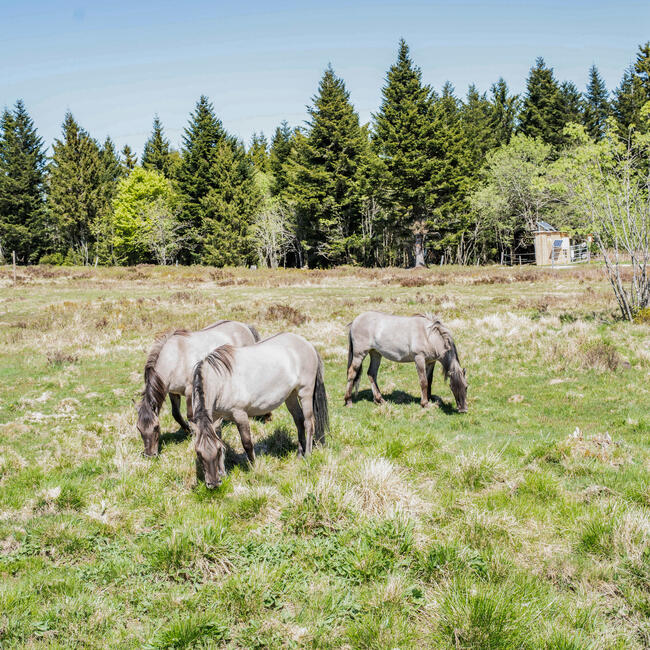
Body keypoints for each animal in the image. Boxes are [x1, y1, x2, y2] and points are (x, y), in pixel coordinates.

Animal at [137, 320, 259, 457]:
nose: (150, 455)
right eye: (139, 429)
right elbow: (176, 414)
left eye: (156, 427)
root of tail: (243, 326)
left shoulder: (190, 391)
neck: (175, 357)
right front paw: (187, 430)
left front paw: (193, 434)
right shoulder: (173, 393)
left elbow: (190, 415)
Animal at [191, 333, 329, 488]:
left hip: (305, 393)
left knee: (308, 423)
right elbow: (220, 440)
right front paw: (223, 473)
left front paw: (254, 469)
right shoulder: (215, 419)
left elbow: (247, 443)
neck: (221, 381)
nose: (214, 483)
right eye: (198, 453)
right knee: (298, 420)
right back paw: (300, 454)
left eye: (217, 451)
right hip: (291, 395)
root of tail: (308, 344)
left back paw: (308, 455)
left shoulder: (240, 415)